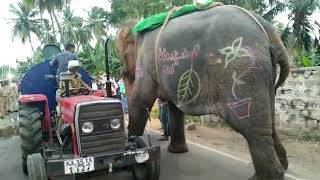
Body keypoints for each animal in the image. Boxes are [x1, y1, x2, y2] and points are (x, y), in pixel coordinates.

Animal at [117, 4, 290, 180]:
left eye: (123, 57)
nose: (123, 72)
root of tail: (270, 33)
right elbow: (174, 108)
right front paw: (176, 151)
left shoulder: (146, 62)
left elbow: (141, 101)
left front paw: (133, 152)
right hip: (265, 75)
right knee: (269, 123)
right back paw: (282, 166)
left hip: (244, 73)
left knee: (251, 128)